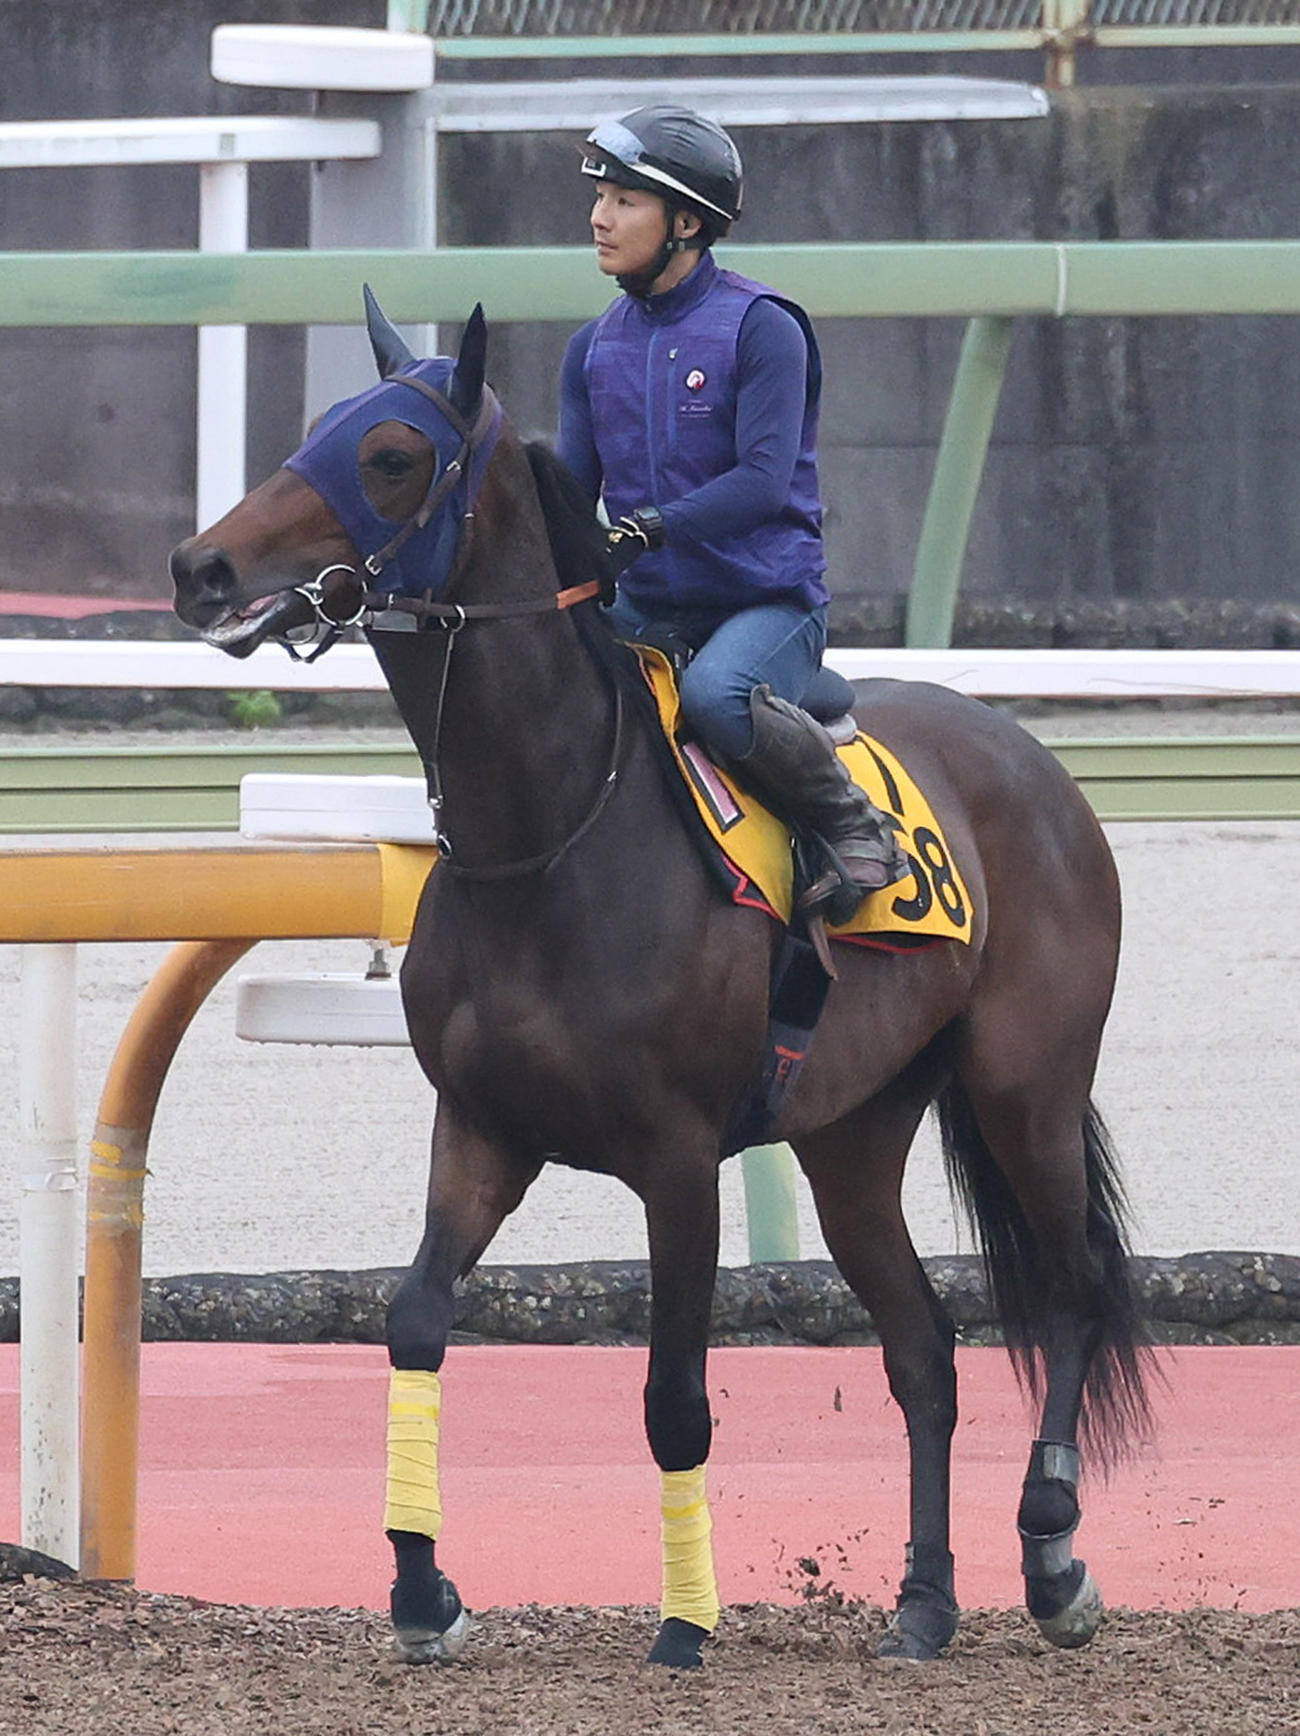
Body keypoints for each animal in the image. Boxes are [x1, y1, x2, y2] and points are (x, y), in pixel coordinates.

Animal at [169, 292, 1151, 1671]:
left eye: (394, 455)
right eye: (317, 428)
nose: (201, 569)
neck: (548, 833)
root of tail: (1038, 764)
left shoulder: (678, 1158)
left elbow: (674, 1397)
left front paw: (686, 1619)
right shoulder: (481, 1127)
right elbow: (414, 1319)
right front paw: (424, 1589)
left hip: (1027, 1086)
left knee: (1067, 1288)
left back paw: (1054, 1552)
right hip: (853, 1132)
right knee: (923, 1349)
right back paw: (922, 1600)